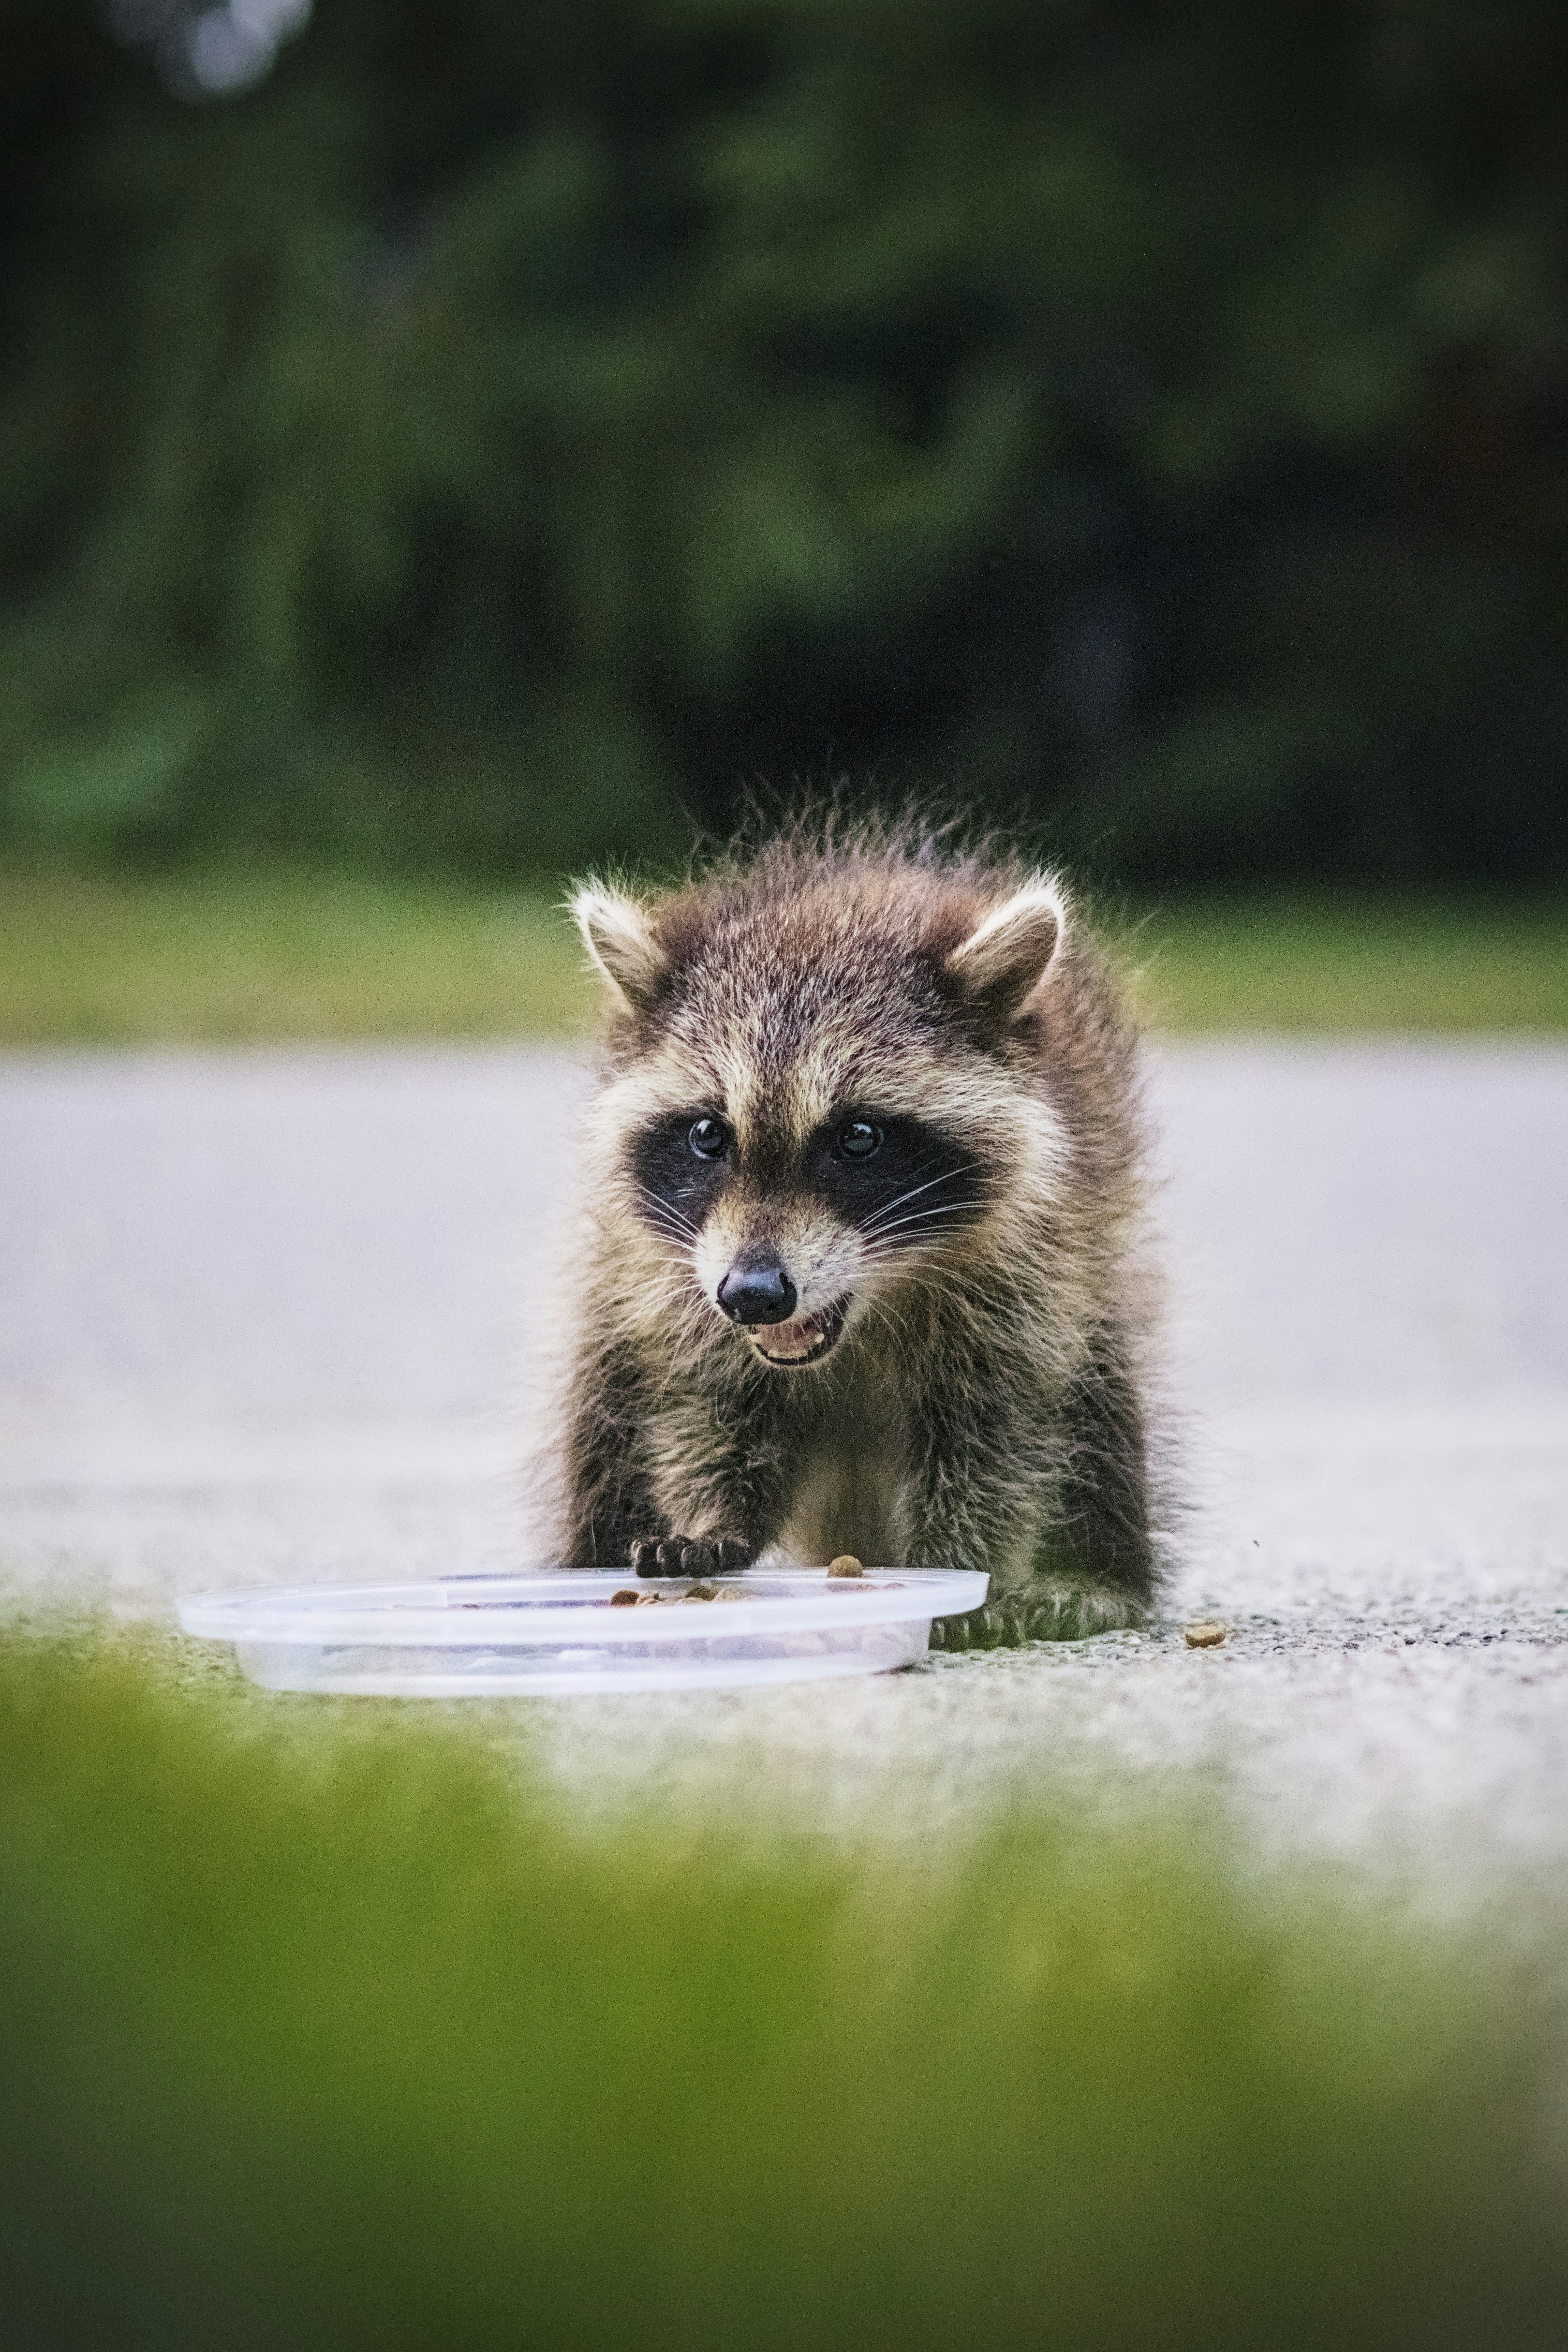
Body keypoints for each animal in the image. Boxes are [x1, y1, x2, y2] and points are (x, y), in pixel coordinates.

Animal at [544, 825, 1165, 1644]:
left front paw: (957, 1562)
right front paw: (717, 1516)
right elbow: (705, 1401)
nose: (753, 1295)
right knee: (608, 1389)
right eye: (708, 1135)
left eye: (859, 1137)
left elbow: (1002, 1424)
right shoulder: (675, 1276)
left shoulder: (1032, 1253)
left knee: (1094, 1389)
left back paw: (1100, 1572)